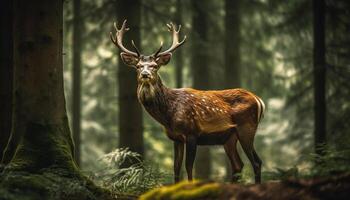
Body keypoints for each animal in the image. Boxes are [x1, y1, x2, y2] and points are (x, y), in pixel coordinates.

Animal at [109, 19, 266, 183]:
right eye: (138, 66)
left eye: (155, 66)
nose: (145, 74)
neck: (168, 115)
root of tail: (258, 99)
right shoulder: (176, 138)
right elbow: (176, 168)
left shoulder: (191, 133)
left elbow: (189, 167)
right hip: (229, 137)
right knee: (238, 164)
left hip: (246, 127)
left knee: (256, 162)